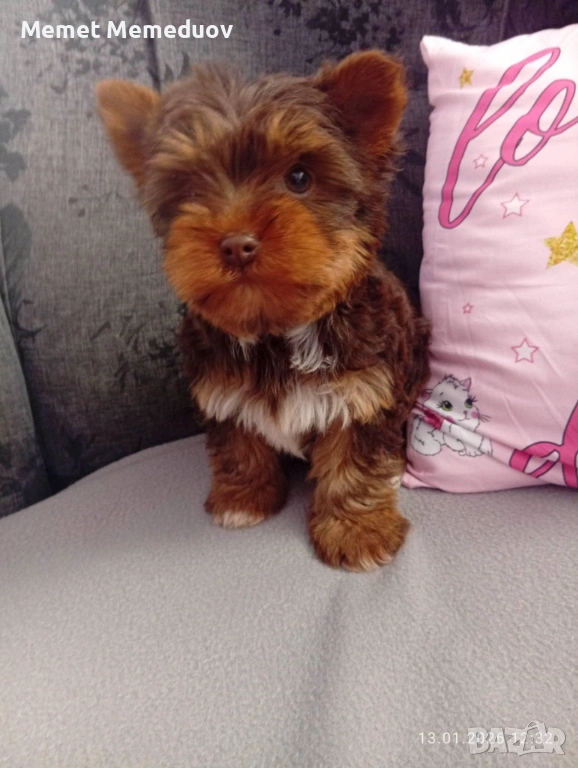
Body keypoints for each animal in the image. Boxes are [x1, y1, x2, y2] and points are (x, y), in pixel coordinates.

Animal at [96, 51, 430, 571]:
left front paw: (356, 530)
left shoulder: (365, 392)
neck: (275, 331)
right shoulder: (219, 386)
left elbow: (355, 461)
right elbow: (238, 441)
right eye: (189, 187)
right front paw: (244, 497)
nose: (237, 244)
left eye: (300, 177)